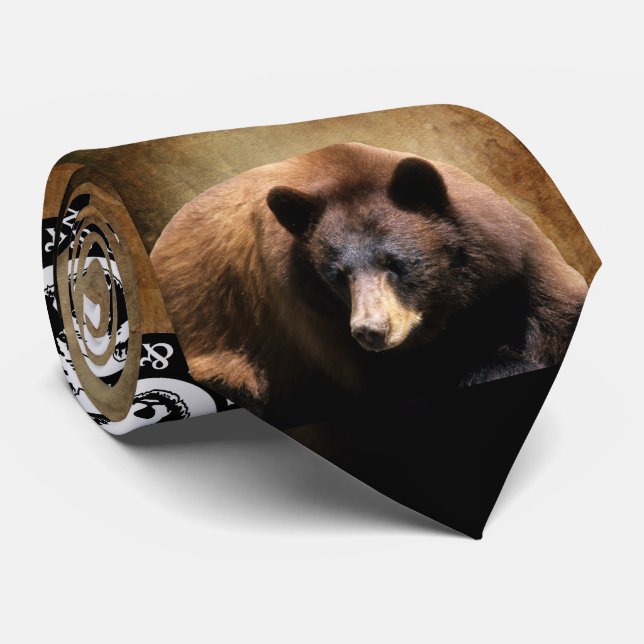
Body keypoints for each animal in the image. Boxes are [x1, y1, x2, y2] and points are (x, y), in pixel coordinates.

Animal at [150, 142, 588, 423]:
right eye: (337, 276)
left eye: (395, 263)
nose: (371, 331)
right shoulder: (309, 316)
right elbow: (396, 382)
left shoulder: (509, 259)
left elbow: (557, 309)